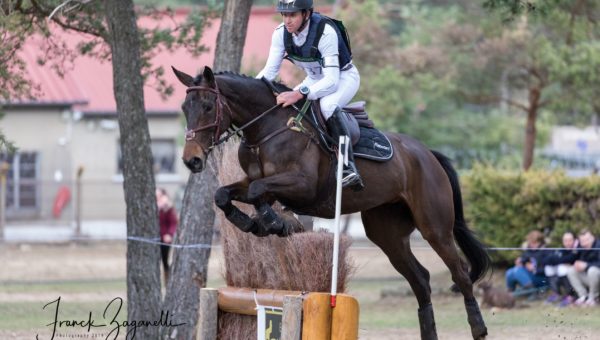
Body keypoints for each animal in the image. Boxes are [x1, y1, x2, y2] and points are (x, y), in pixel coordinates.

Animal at [171, 66, 490, 340]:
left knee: (460, 274)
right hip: (387, 233)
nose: (192, 160)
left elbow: (258, 192)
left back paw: (478, 328)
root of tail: (427, 154)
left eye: (208, 106)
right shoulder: (255, 182)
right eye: (185, 108)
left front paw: (274, 223)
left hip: (434, 226)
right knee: (420, 280)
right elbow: (225, 194)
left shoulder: (302, 185)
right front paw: (253, 223)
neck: (265, 129)